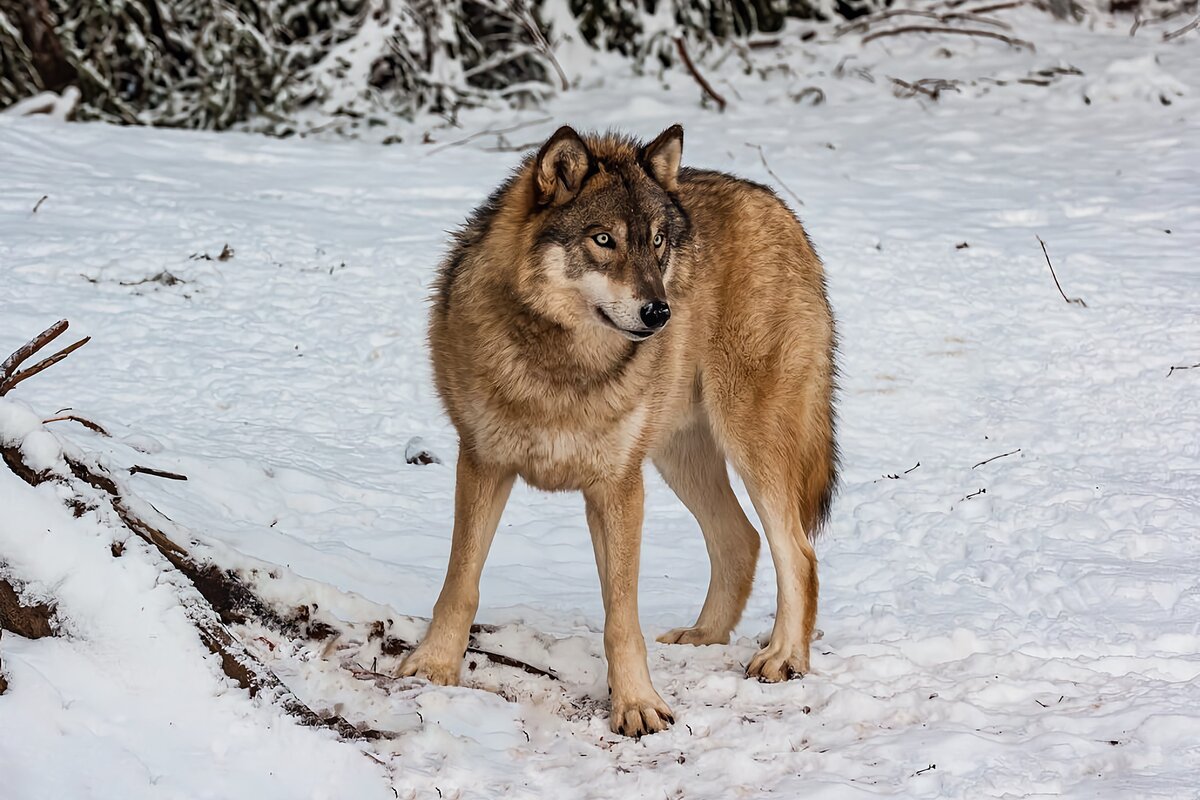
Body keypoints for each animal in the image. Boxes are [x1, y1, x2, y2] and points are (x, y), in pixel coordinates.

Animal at [400, 125, 835, 738]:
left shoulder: (618, 486)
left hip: (749, 442)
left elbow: (621, 618)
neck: (566, 366)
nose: (659, 313)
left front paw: (637, 705)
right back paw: (703, 637)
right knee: (740, 538)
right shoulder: (483, 462)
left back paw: (783, 658)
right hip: (681, 456)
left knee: (797, 552)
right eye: (604, 239)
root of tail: (778, 207)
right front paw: (434, 667)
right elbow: (460, 583)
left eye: (657, 242)